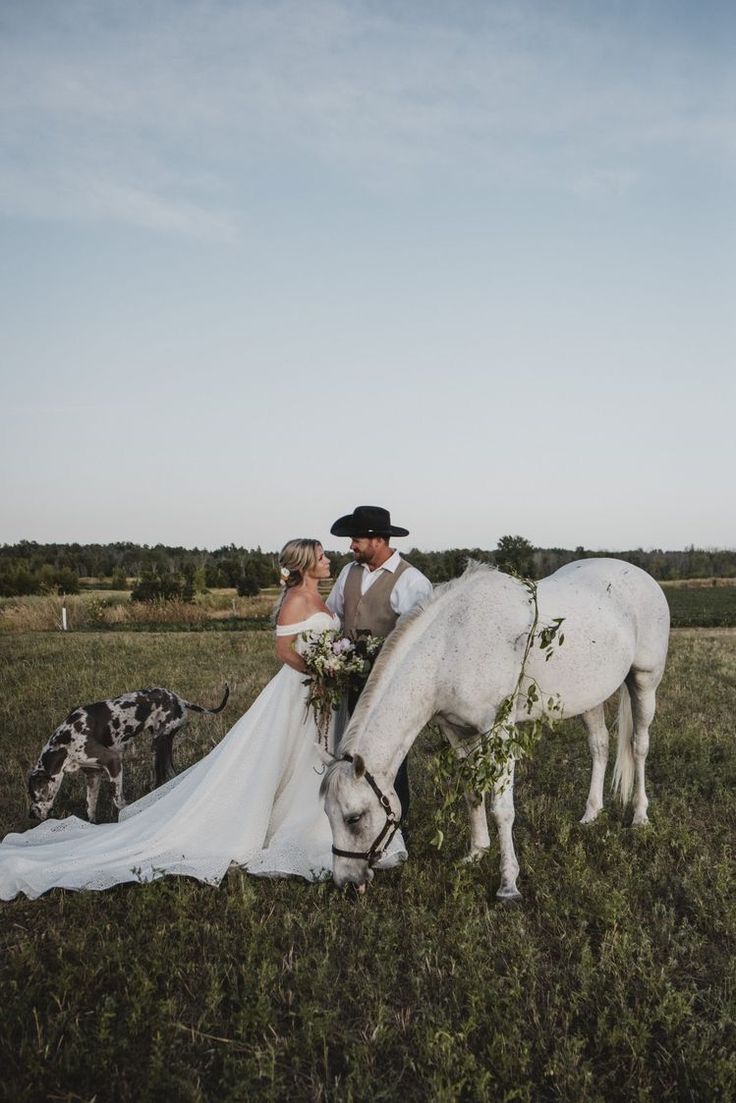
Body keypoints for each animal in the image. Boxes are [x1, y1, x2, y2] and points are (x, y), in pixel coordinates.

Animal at [28, 683, 230, 825]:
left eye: (36, 796)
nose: (31, 815)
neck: (64, 742)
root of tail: (179, 699)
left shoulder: (113, 762)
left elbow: (118, 800)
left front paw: (126, 816)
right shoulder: (93, 775)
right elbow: (90, 806)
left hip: (158, 745)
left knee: (161, 778)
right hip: (164, 744)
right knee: (171, 774)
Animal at [320, 560, 670, 895]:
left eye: (354, 818)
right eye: (326, 814)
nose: (346, 882)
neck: (451, 645)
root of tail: (641, 576)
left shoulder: (500, 732)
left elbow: (502, 809)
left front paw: (508, 881)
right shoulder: (457, 732)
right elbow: (473, 793)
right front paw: (476, 852)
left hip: (645, 682)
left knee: (639, 746)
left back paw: (640, 815)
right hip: (589, 697)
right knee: (599, 746)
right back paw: (591, 813)